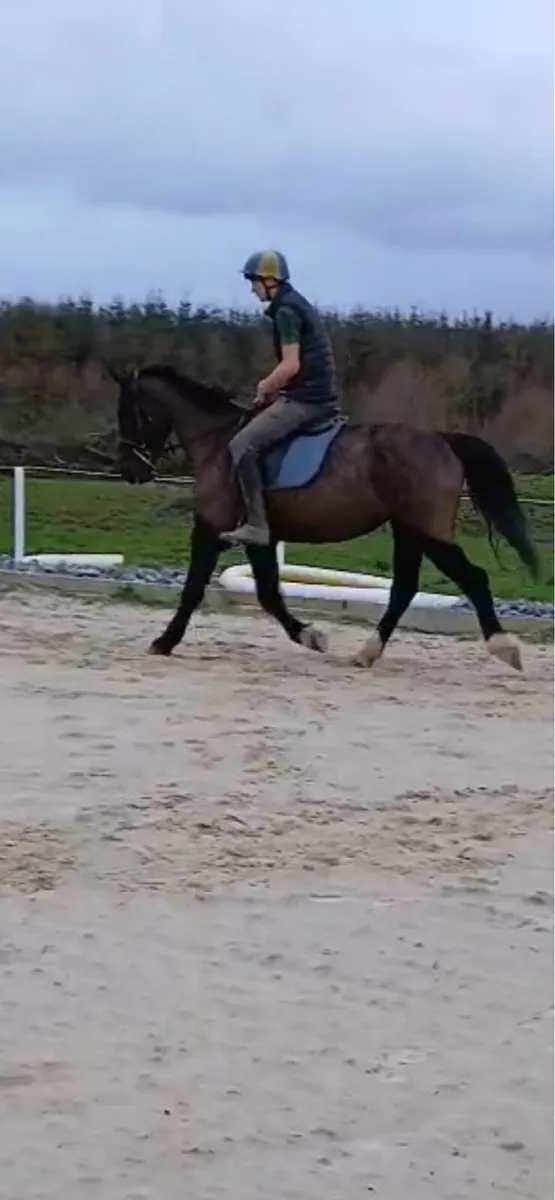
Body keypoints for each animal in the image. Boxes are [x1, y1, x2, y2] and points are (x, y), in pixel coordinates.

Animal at [108, 362, 539, 673]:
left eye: (129, 413)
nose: (130, 470)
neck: (217, 440)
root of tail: (442, 439)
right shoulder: (261, 537)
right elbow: (268, 593)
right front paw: (310, 635)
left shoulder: (211, 528)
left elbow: (194, 589)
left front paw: (164, 642)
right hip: (408, 531)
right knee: (404, 589)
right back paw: (367, 652)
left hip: (426, 532)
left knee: (472, 578)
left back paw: (504, 646)